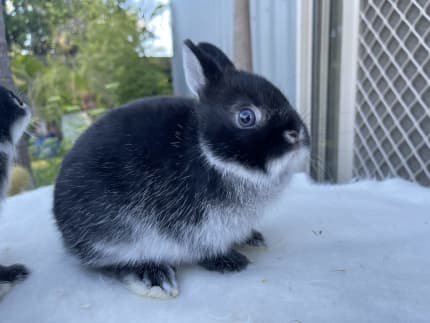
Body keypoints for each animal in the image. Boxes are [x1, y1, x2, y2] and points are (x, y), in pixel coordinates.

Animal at [53, 39, 310, 300]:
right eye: (246, 116)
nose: (297, 134)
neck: (212, 157)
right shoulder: (200, 228)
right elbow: (204, 249)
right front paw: (231, 261)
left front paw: (252, 238)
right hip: (116, 236)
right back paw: (154, 277)